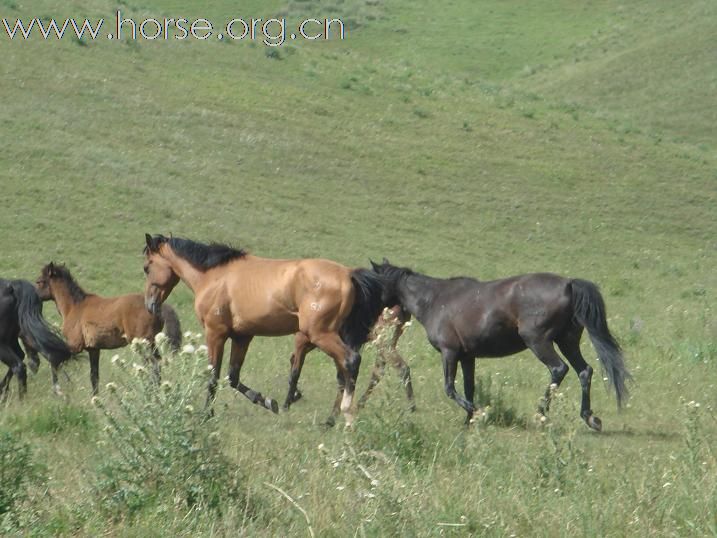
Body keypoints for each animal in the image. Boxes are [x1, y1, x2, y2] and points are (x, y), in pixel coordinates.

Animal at [36, 262, 182, 394]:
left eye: (39, 281)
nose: (35, 297)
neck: (74, 307)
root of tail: (155, 306)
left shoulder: (74, 346)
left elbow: (54, 361)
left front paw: (57, 391)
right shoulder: (93, 349)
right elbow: (94, 377)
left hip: (143, 344)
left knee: (153, 366)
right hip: (151, 344)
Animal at [141, 232, 386, 426]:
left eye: (147, 267)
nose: (150, 304)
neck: (214, 277)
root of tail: (348, 274)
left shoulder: (215, 334)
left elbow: (213, 377)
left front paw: (206, 415)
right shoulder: (242, 337)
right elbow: (233, 377)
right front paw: (268, 402)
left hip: (321, 335)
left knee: (350, 362)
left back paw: (347, 417)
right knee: (342, 374)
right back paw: (330, 420)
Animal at [372, 258, 628, 430]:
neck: (435, 300)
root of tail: (568, 283)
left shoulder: (449, 352)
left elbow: (450, 389)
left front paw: (477, 414)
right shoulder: (467, 356)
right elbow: (469, 388)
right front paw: (468, 420)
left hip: (538, 341)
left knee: (559, 369)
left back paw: (541, 415)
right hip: (567, 341)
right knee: (584, 371)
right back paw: (590, 418)